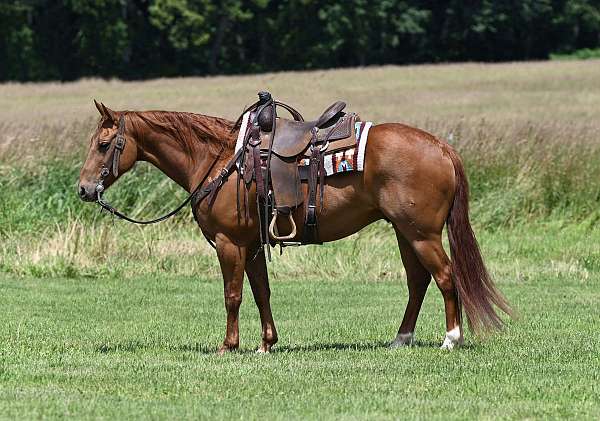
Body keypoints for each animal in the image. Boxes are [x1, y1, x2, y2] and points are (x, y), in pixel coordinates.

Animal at [78, 100, 510, 352]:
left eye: (103, 144)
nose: (83, 189)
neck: (220, 159)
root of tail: (441, 146)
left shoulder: (229, 243)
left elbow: (233, 296)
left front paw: (228, 346)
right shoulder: (252, 245)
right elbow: (261, 294)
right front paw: (266, 344)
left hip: (421, 233)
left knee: (445, 276)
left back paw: (451, 339)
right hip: (405, 232)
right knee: (418, 282)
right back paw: (401, 339)